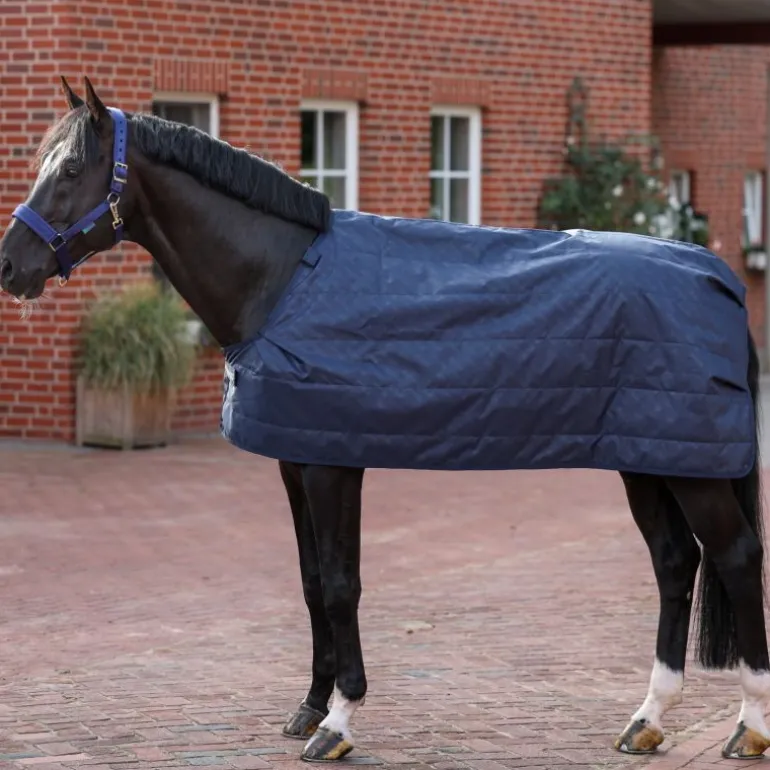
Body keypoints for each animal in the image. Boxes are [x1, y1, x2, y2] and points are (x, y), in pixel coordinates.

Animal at [0, 76, 768, 763]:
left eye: (71, 169)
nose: (10, 265)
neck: (283, 279)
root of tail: (718, 275)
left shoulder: (334, 463)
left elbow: (343, 585)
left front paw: (338, 722)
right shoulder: (295, 460)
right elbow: (313, 582)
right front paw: (310, 706)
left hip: (690, 469)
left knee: (734, 556)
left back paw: (747, 725)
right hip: (650, 457)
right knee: (675, 561)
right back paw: (648, 719)